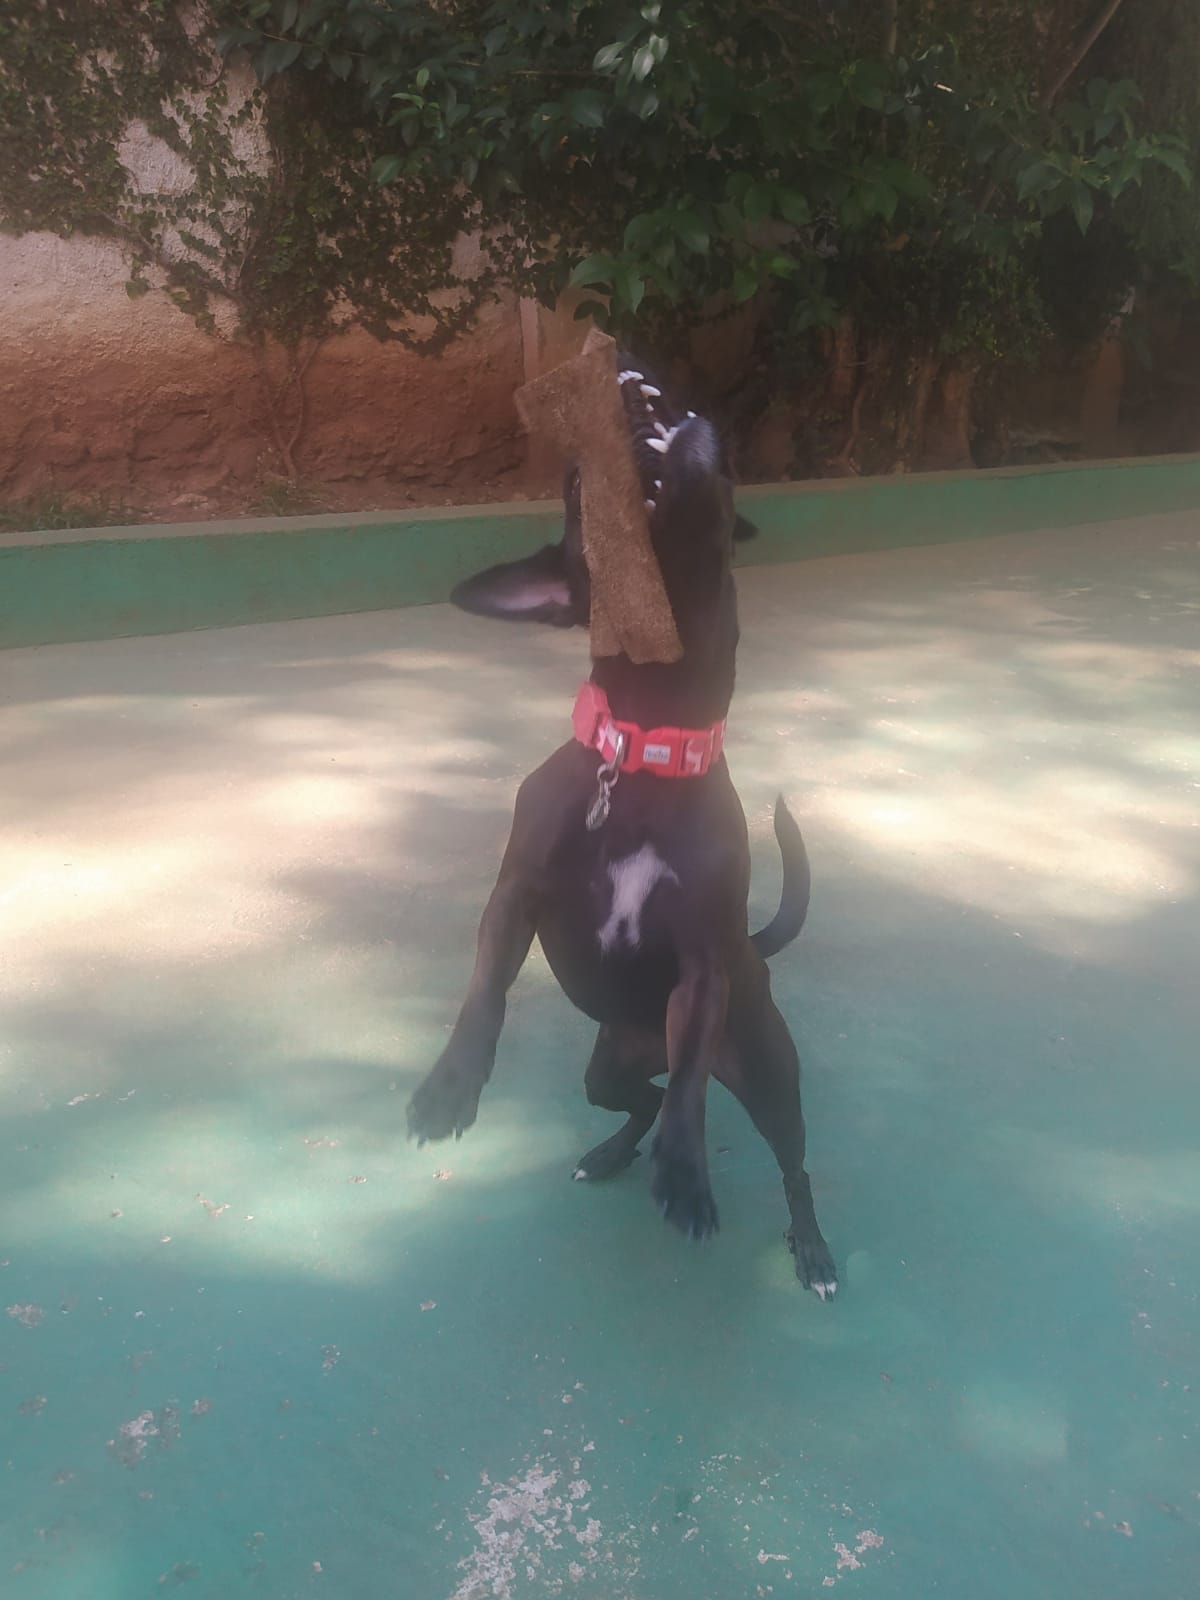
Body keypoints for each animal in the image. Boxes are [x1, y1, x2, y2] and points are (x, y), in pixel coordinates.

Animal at [406, 357, 837, 1298]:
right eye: (576, 487)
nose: (648, 388)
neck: (645, 752)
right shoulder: (513, 898)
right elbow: (484, 994)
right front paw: (450, 1087)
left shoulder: (706, 964)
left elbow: (690, 1095)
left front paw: (687, 1174)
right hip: (605, 1069)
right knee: (637, 1100)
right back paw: (608, 1154)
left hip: (769, 1075)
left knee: (777, 1151)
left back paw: (813, 1248)